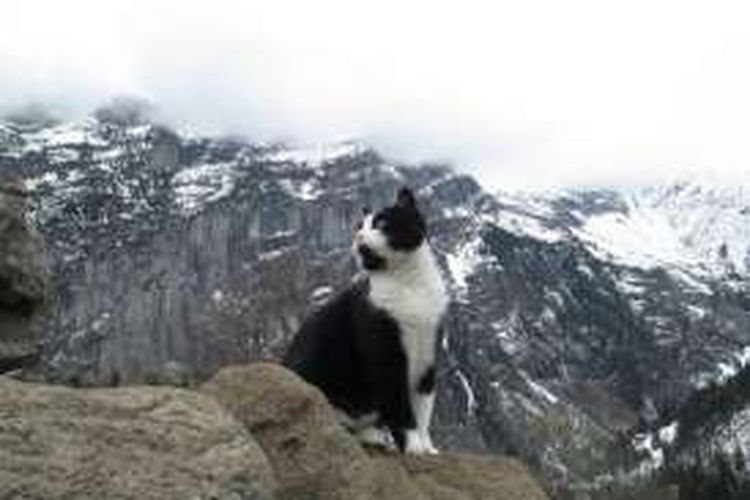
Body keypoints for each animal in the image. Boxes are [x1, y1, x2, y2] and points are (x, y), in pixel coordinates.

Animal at [280, 188, 446, 454]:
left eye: (381, 223)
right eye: (358, 226)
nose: (358, 235)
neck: (409, 283)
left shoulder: (429, 353)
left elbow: (423, 409)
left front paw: (427, 447)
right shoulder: (385, 354)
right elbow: (401, 408)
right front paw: (413, 447)